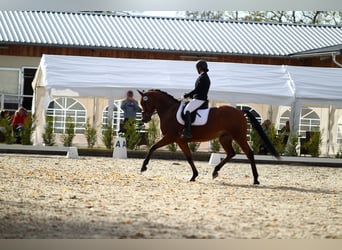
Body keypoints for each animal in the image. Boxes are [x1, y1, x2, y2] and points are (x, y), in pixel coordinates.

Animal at [137, 89, 280, 185]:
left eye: (144, 103)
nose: (144, 118)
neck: (169, 110)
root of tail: (240, 111)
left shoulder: (171, 137)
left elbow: (152, 147)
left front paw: (143, 167)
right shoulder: (181, 140)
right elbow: (189, 157)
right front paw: (194, 176)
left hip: (239, 136)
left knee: (249, 153)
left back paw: (255, 179)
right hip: (224, 138)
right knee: (231, 153)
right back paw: (215, 172)